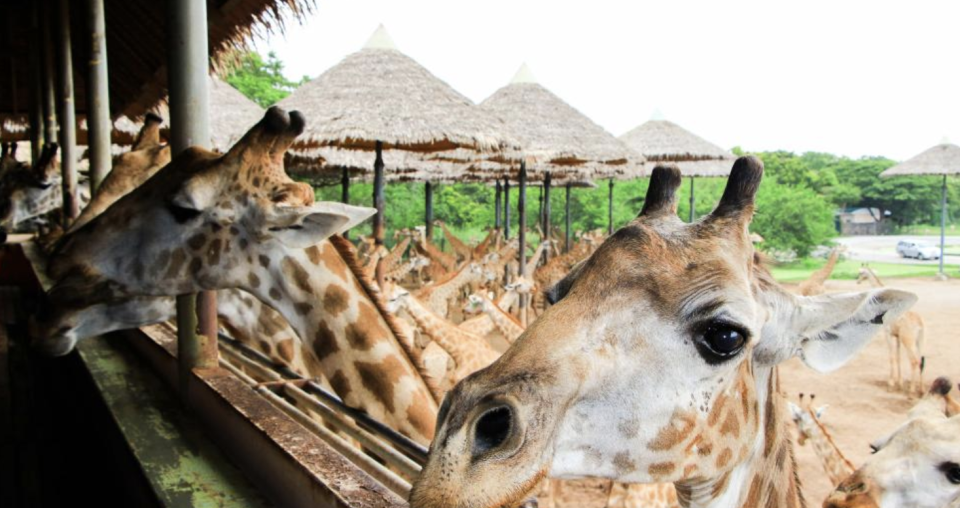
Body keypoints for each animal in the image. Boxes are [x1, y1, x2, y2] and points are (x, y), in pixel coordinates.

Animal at [860, 266, 928, 396]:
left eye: (861, 272)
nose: (857, 280)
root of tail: (920, 324)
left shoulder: (888, 333)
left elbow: (891, 356)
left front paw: (891, 385)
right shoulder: (897, 336)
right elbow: (898, 356)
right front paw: (899, 384)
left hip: (908, 340)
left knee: (914, 360)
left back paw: (911, 392)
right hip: (919, 341)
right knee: (921, 360)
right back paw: (921, 390)